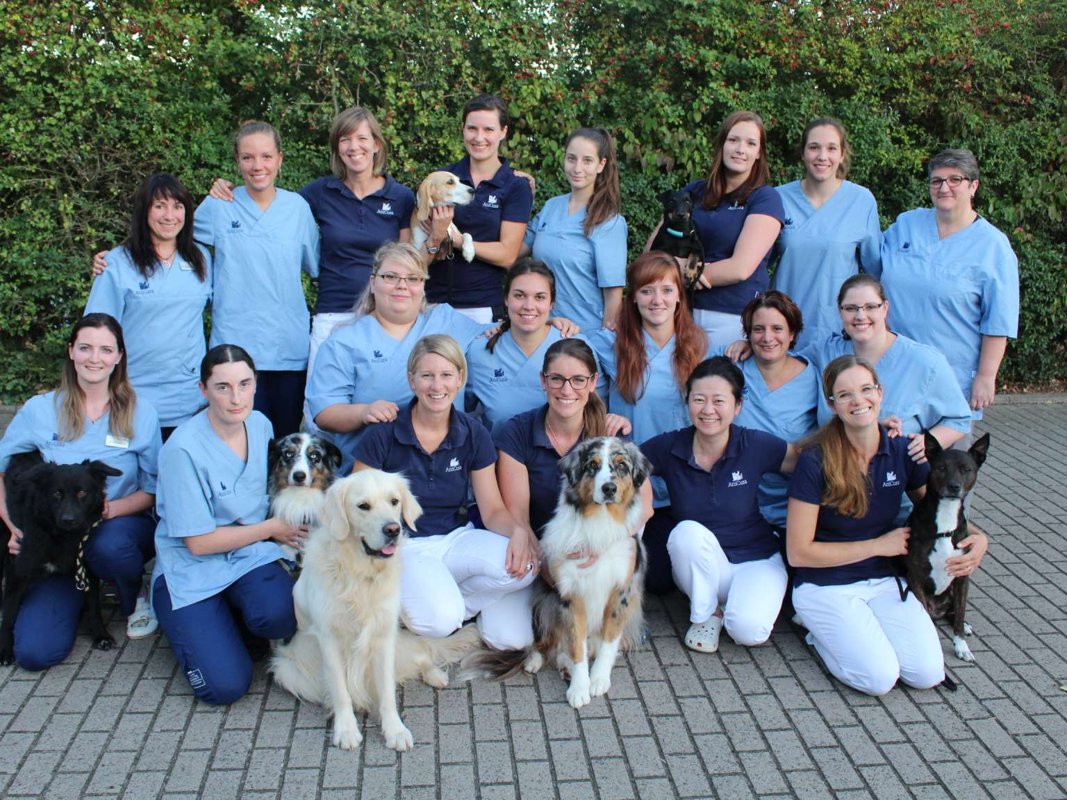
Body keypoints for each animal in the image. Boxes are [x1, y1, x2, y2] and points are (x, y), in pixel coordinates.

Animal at [1, 454, 120, 665]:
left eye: (82, 492)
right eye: (57, 493)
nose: (68, 519)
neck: (60, 535)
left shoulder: (86, 565)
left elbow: (93, 605)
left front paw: (100, 635)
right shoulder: (17, 570)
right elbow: (9, 613)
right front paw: (5, 649)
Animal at [904, 433, 985, 665]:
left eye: (966, 469)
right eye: (941, 467)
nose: (954, 486)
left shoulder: (962, 576)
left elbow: (960, 613)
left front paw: (961, 646)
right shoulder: (916, 577)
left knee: (955, 611)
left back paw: (964, 625)